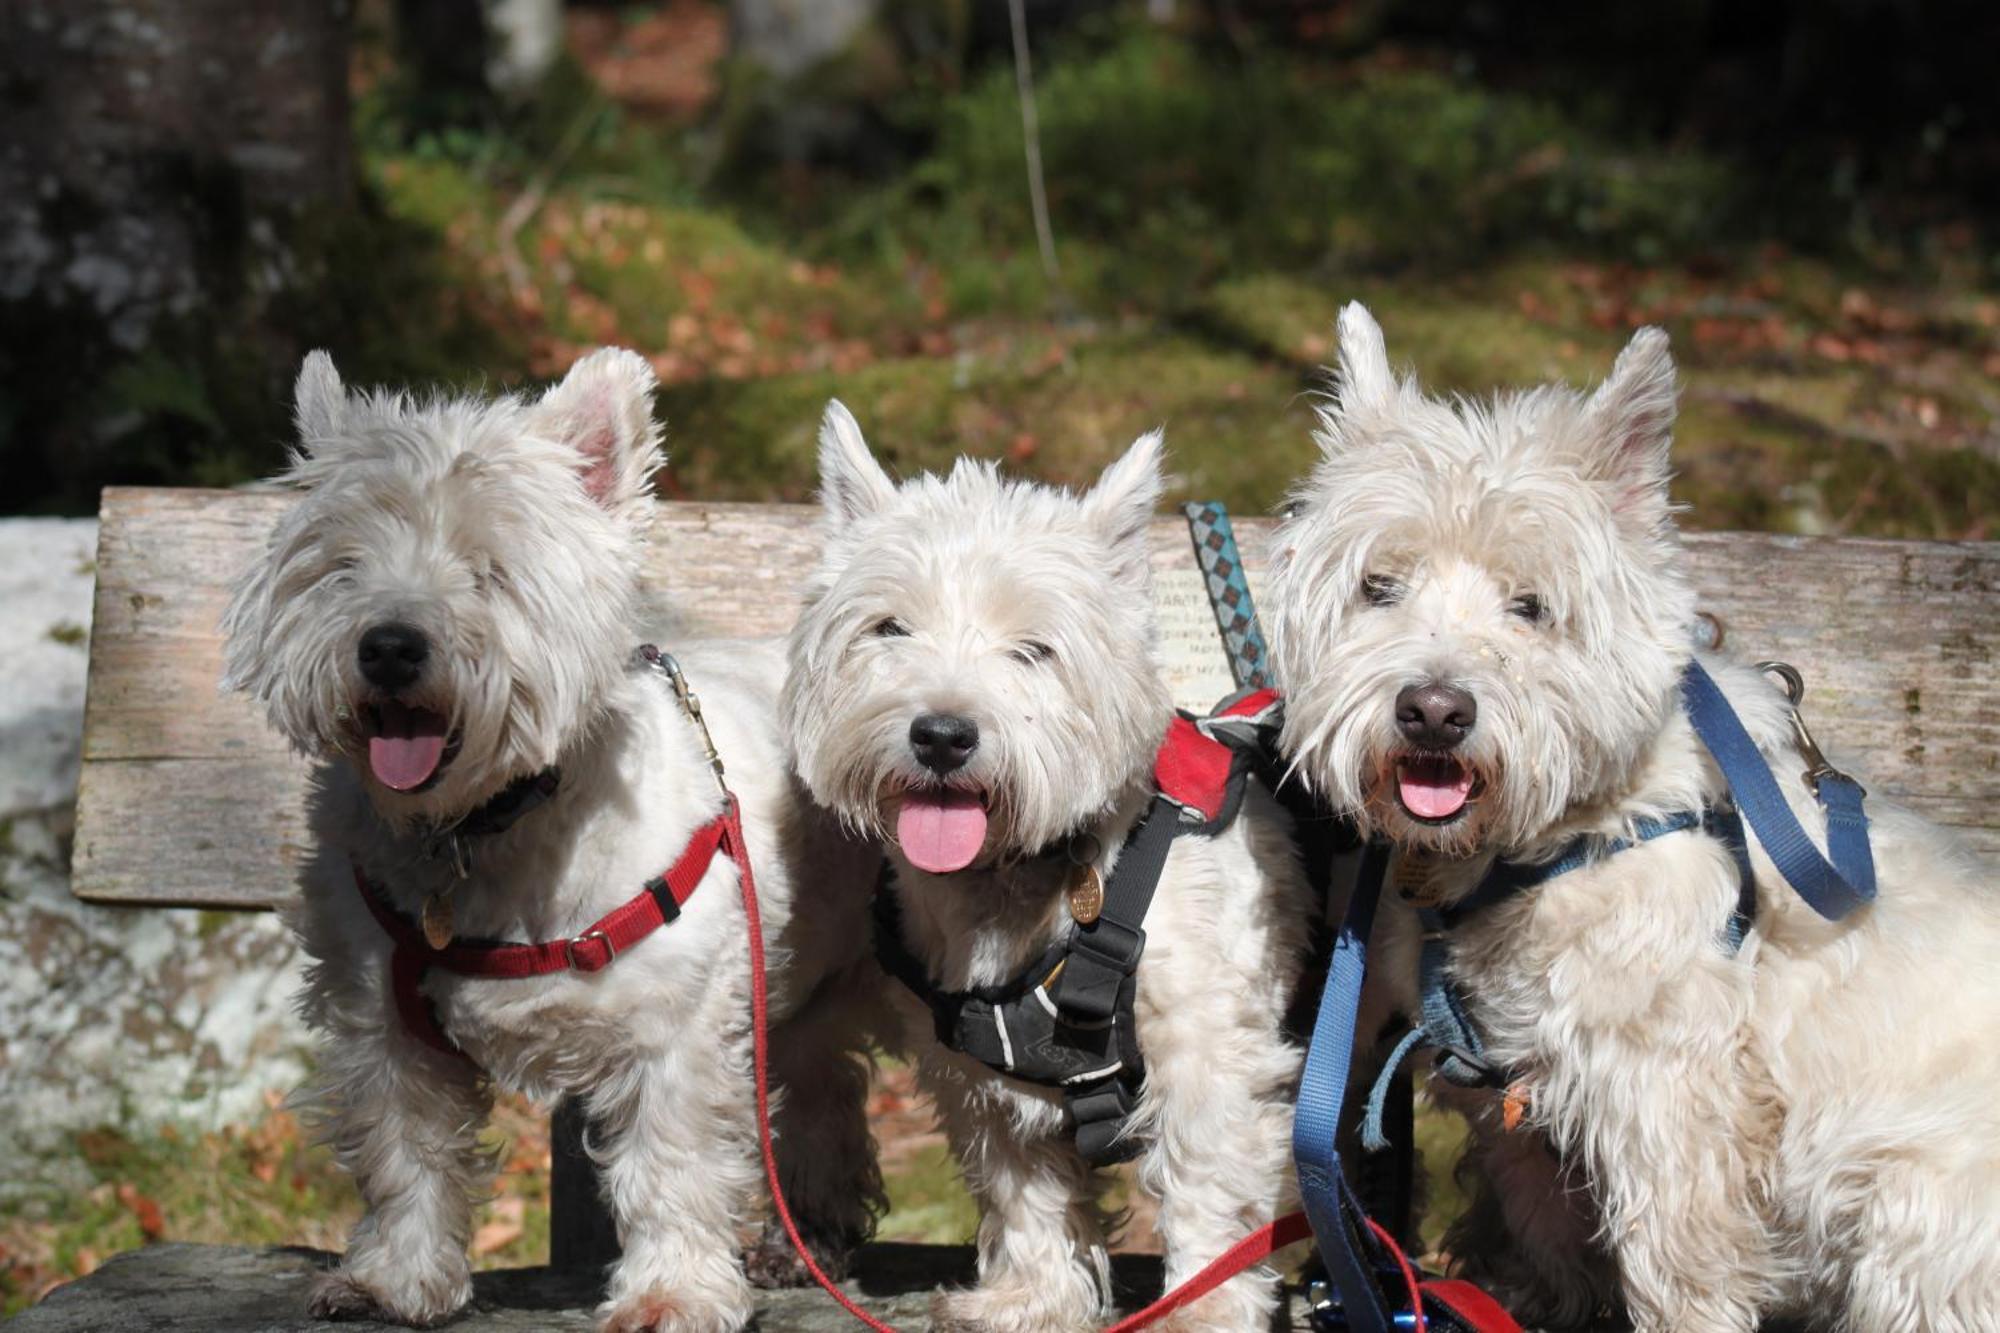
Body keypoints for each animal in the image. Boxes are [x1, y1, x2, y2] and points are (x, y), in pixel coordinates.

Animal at [219, 348, 876, 1320]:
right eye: (345, 566)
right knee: (822, 1089)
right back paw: (805, 1240)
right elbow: (403, 1153)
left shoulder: (677, 1026)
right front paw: (395, 1279)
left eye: (490, 570)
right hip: (801, 991)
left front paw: (672, 1292)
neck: (483, 825)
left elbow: (672, 1163)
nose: (389, 645)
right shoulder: (381, 1019)